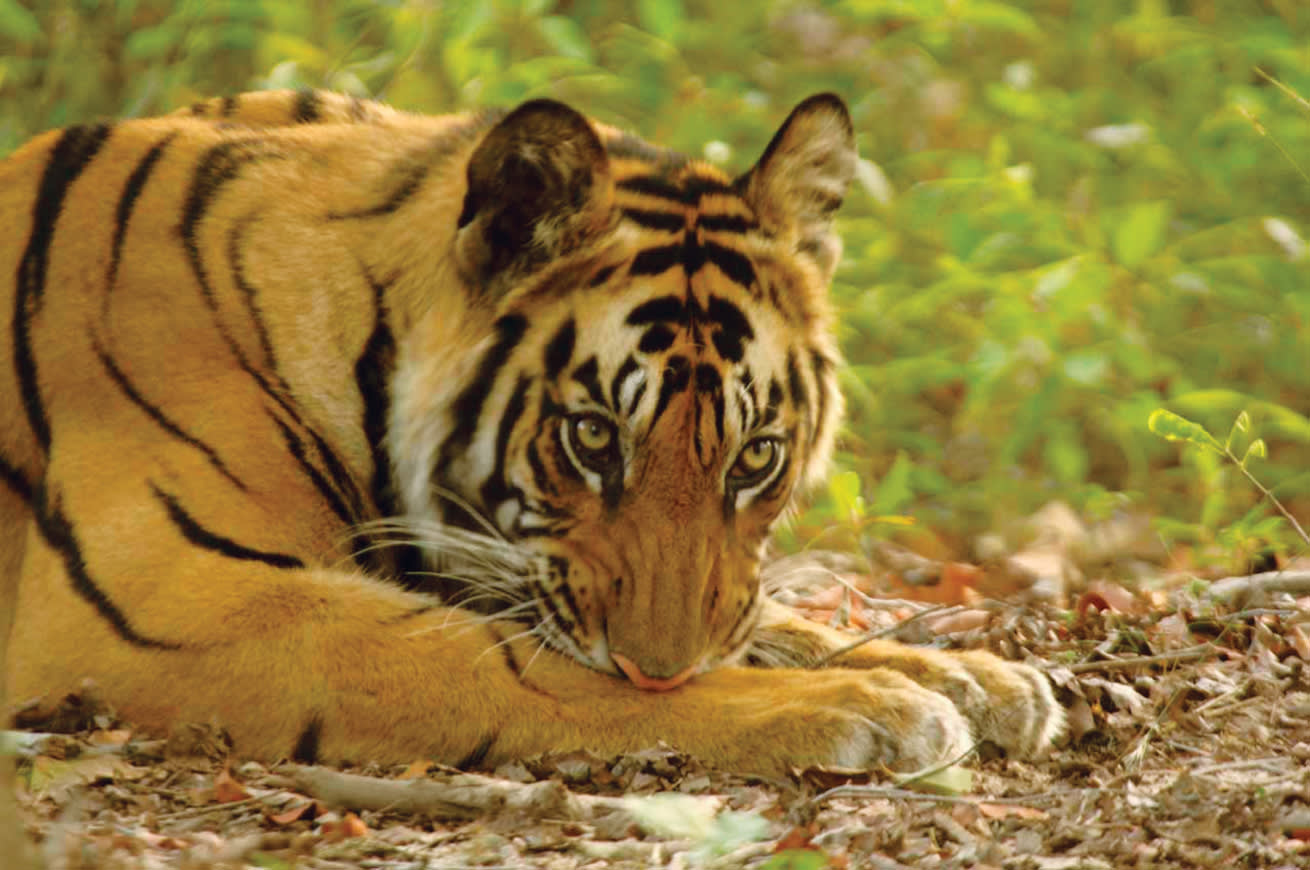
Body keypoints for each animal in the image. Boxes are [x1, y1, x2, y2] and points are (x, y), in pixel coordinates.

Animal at [0, 89, 1063, 775]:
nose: (660, 665)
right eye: (592, 439)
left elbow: (772, 621)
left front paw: (978, 678)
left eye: (756, 456)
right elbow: (519, 665)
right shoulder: (160, 598)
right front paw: (868, 706)